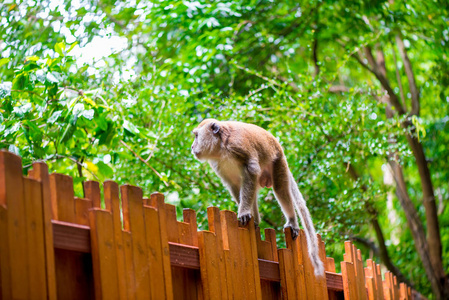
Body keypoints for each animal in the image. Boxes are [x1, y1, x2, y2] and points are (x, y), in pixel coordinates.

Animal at [191, 118, 324, 276]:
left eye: (196, 136)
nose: (192, 146)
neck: (221, 147)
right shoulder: (217, 164)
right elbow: (234, 184)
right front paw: (247, 214)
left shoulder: (237, 146)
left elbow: (251, 170)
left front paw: (243, 212)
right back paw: (256, 220)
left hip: (278, 161)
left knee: (279, 188)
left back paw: (292, 221)